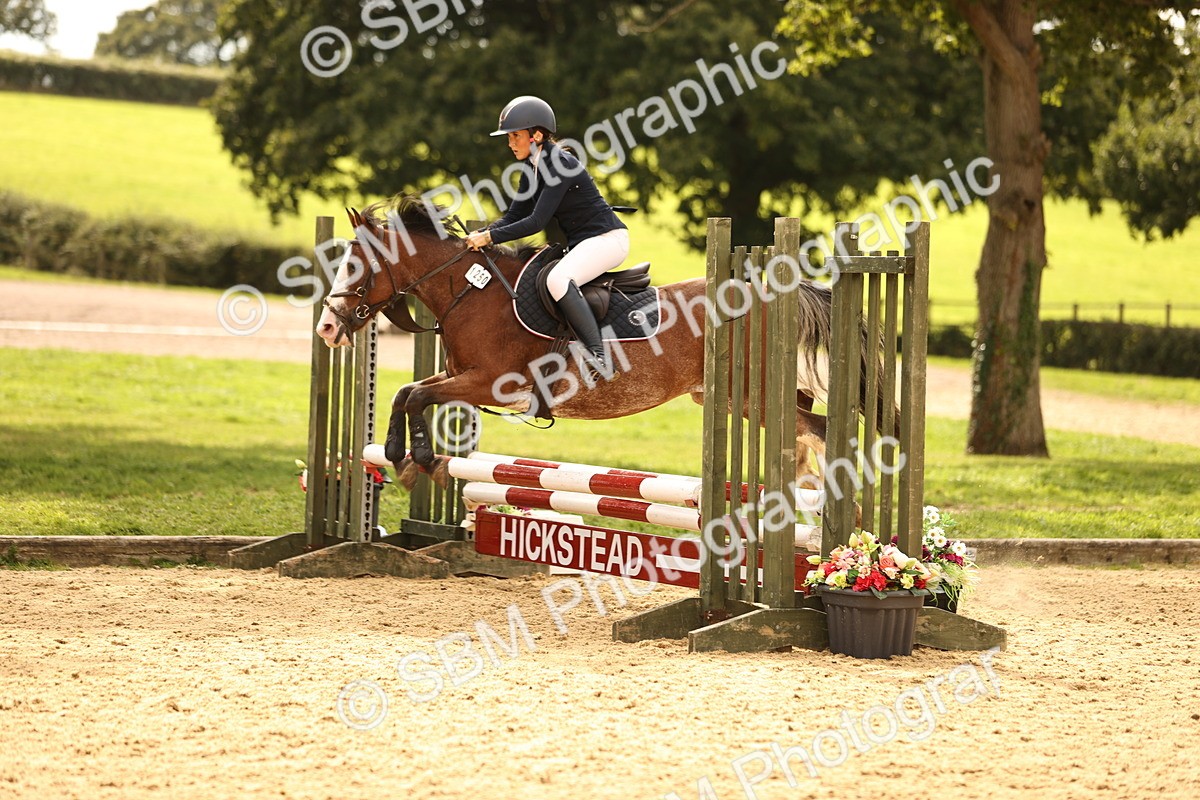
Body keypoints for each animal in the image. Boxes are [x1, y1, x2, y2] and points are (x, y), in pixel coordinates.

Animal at [316, 197, 876, 487]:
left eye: (357, 266)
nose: (326, 328)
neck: (471, 294)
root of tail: (772, 290)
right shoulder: (463, 378)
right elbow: (405, 392)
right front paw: (401, 454)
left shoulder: (491, 383)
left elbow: (418, 395)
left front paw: (419, 459)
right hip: (737, 398)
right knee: (803, 427)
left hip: (750, 396)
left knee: (819, 428)